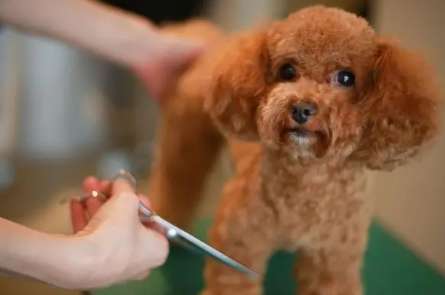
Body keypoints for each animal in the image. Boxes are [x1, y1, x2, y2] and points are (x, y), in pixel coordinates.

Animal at [148, 5, 438, 295]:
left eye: (346, 77)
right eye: (287, 71)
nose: (301, 109)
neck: (307, 182)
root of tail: (211, 39)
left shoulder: (333, 258)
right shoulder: (240, 241)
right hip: (185, 139)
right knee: (175, 180)